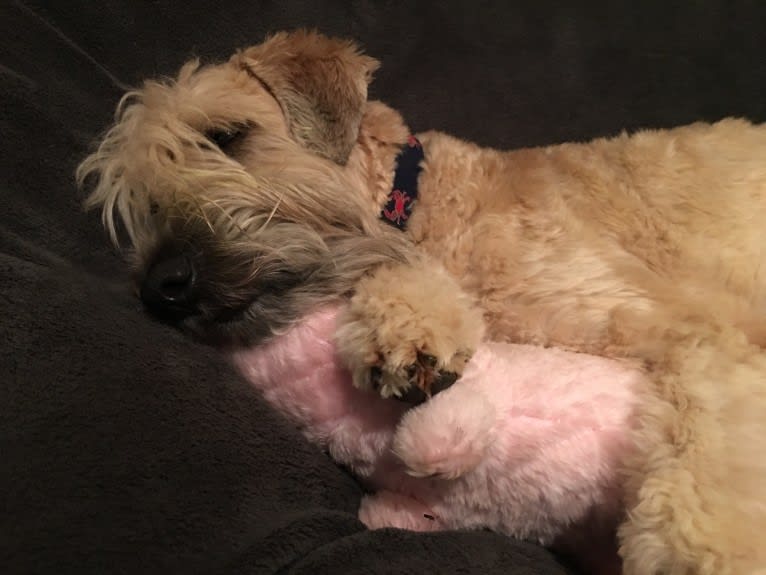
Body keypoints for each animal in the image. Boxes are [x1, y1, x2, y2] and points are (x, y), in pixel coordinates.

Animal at [78, 31, 766, 575]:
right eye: (139, 200)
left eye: (227, 135)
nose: (162, 284)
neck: (426, 205)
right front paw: (407, 334)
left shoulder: (696, 330)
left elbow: (711, 463)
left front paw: (707, 554)